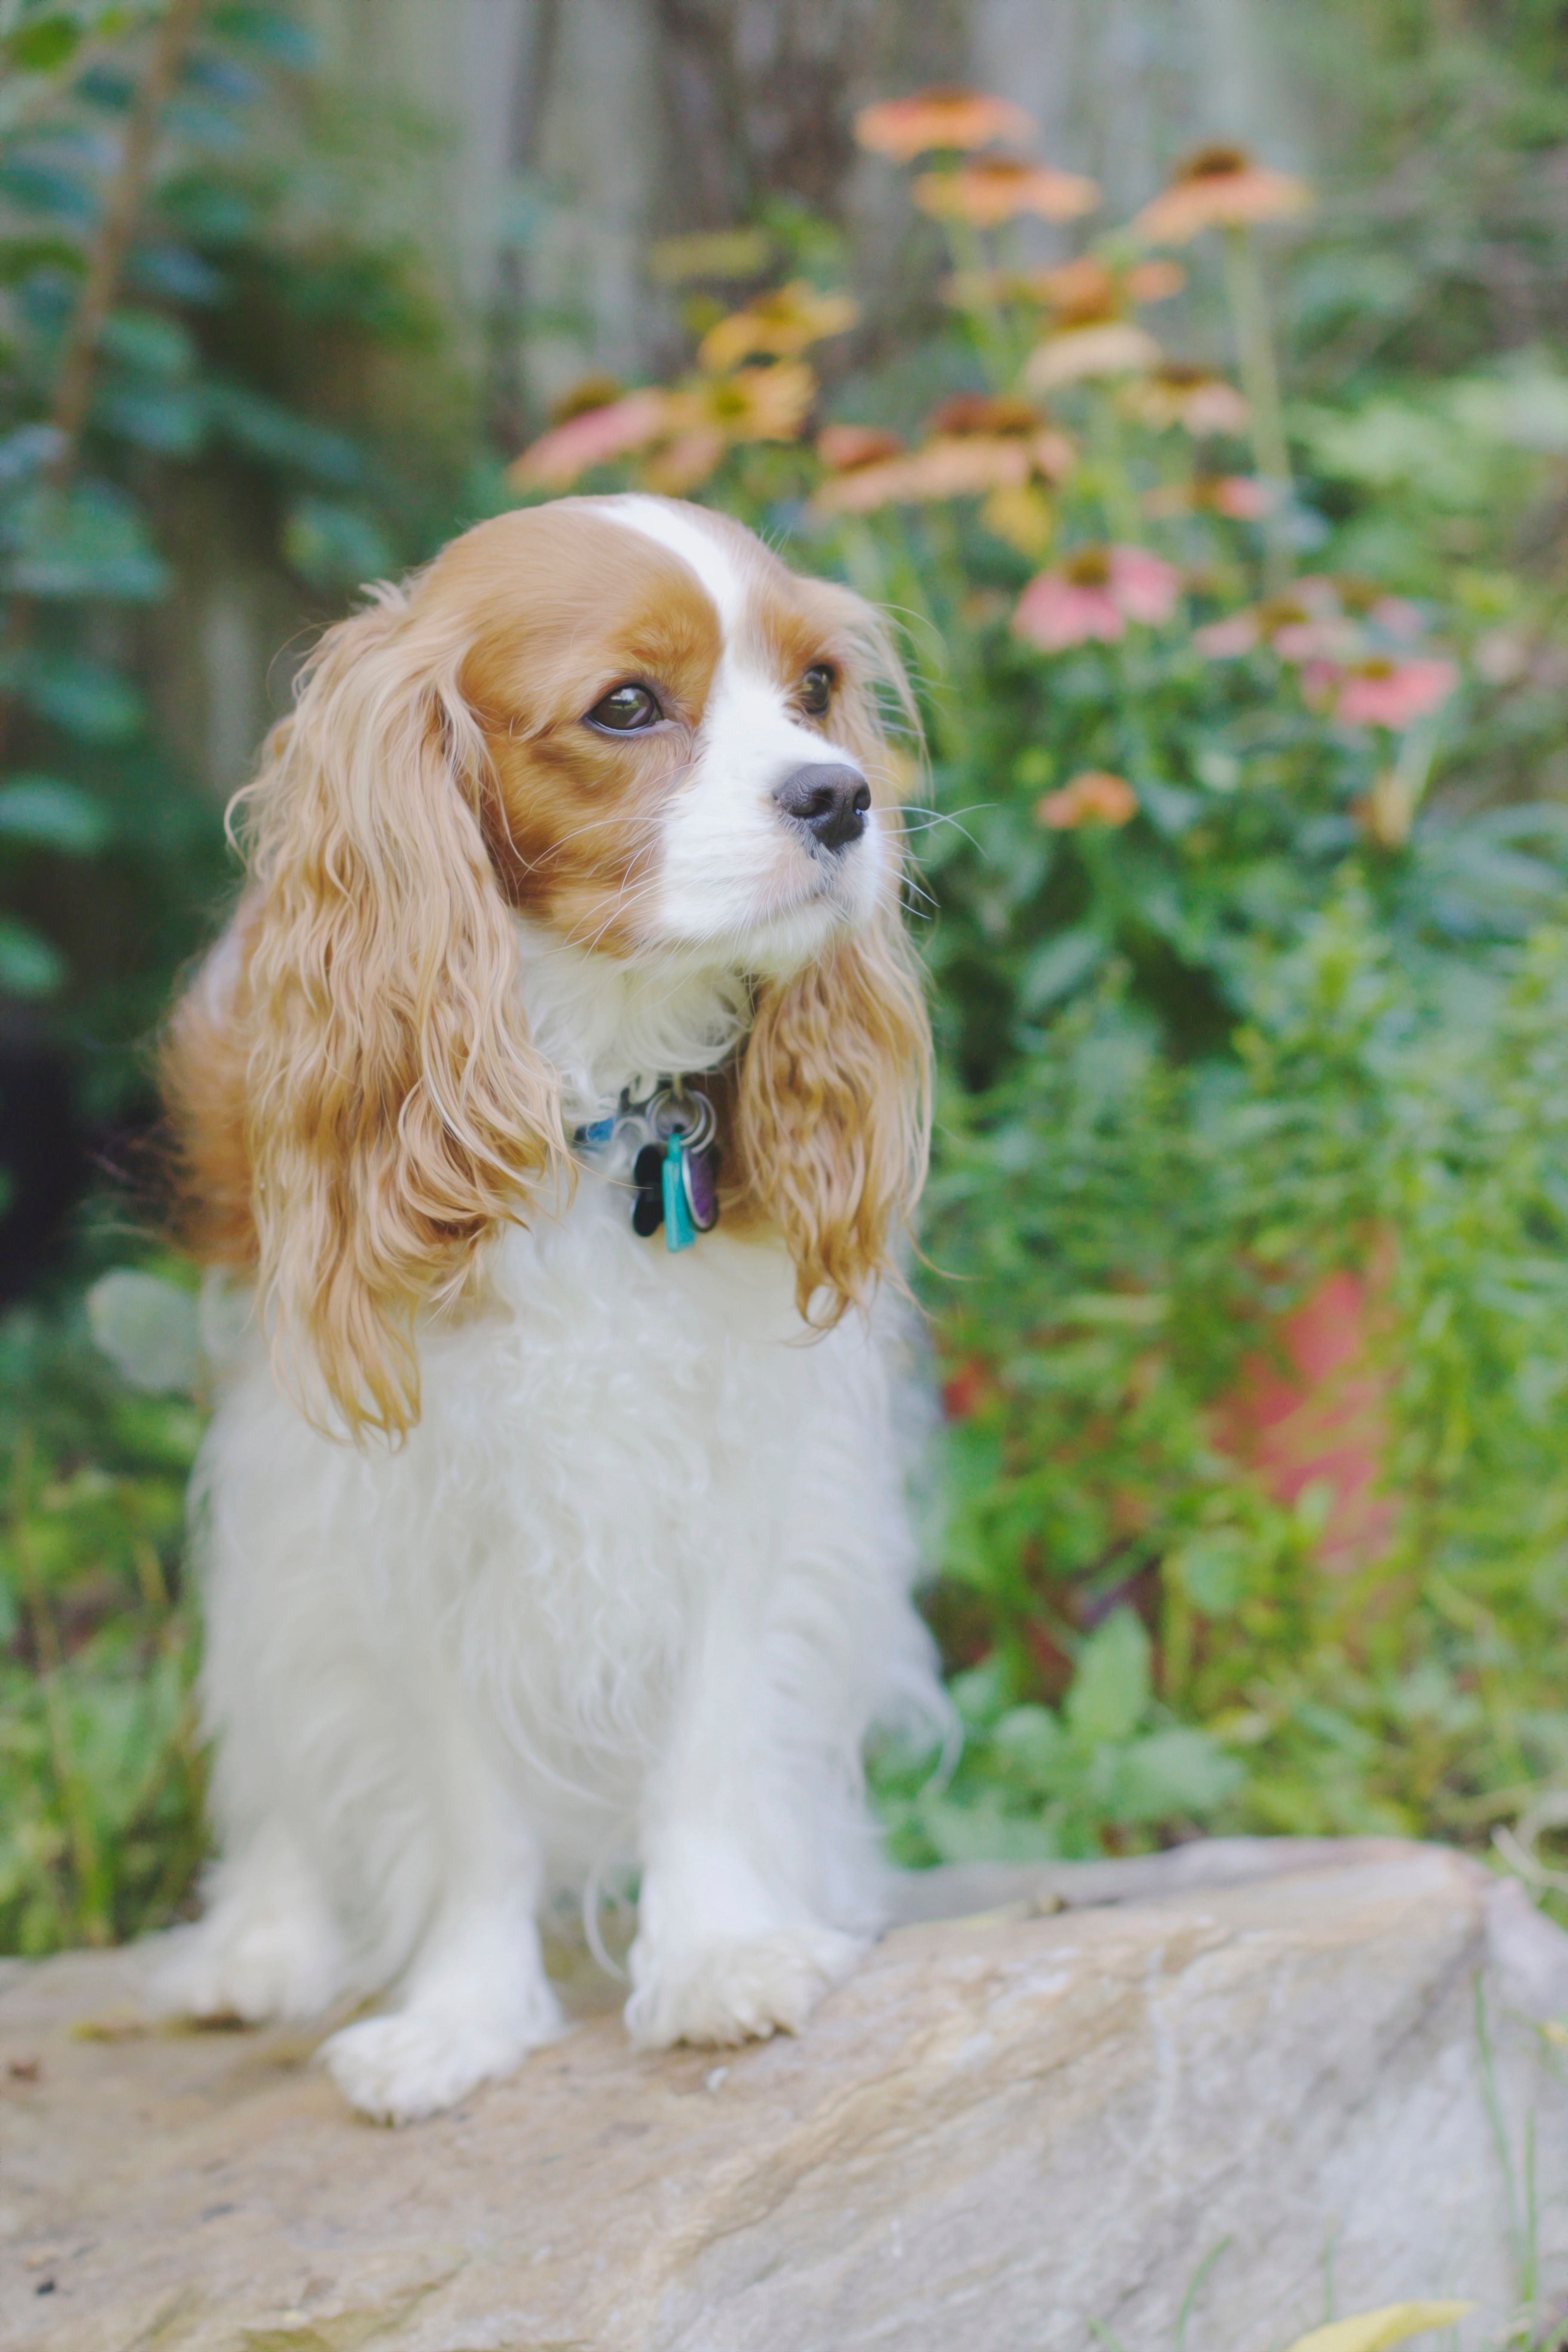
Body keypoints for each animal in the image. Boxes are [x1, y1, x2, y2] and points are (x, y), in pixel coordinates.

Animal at [153, 487, 945, 2126]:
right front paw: (461, 2016)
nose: (839, 797)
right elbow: (466, 1803)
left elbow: (711, 1735)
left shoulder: (741, 1460)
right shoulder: (402, 1503)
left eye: (814, 689)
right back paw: (262, 1938)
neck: (592, 1103)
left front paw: (718, 1955)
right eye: (627, 708)